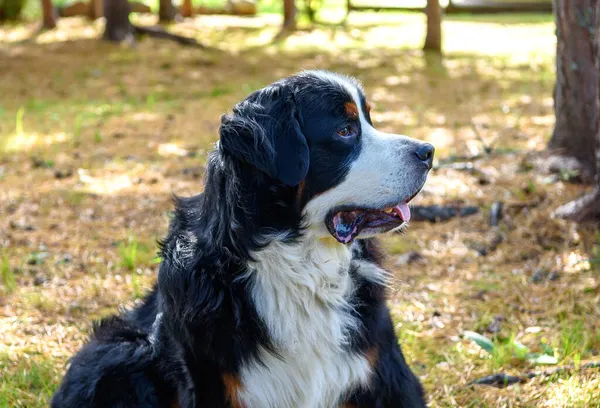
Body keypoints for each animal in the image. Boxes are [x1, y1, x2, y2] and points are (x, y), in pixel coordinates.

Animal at [51, 71, 434, 408]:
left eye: (369, 121)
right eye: (345, 130)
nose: (428, 152)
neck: (300, 263)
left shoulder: (383, 373)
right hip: (118, 351)